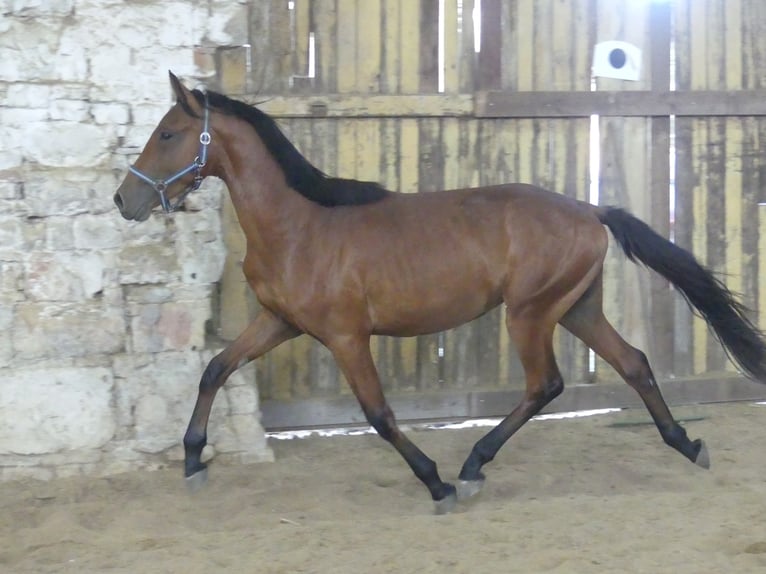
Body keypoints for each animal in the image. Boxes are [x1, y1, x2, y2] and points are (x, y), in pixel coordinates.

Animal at [114, 73, 766, 516]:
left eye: (168, 133)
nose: (125, 199)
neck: (300, 225)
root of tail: (590, 209)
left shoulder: (345, 336)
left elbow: (378, 415)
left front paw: (437, 482)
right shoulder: (280, 321)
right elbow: (214, 369)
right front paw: (193, 460)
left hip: (530, 313)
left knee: (546, 385)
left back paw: (474, 466)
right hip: (576, 308)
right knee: (634, 363)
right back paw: (687, 444)